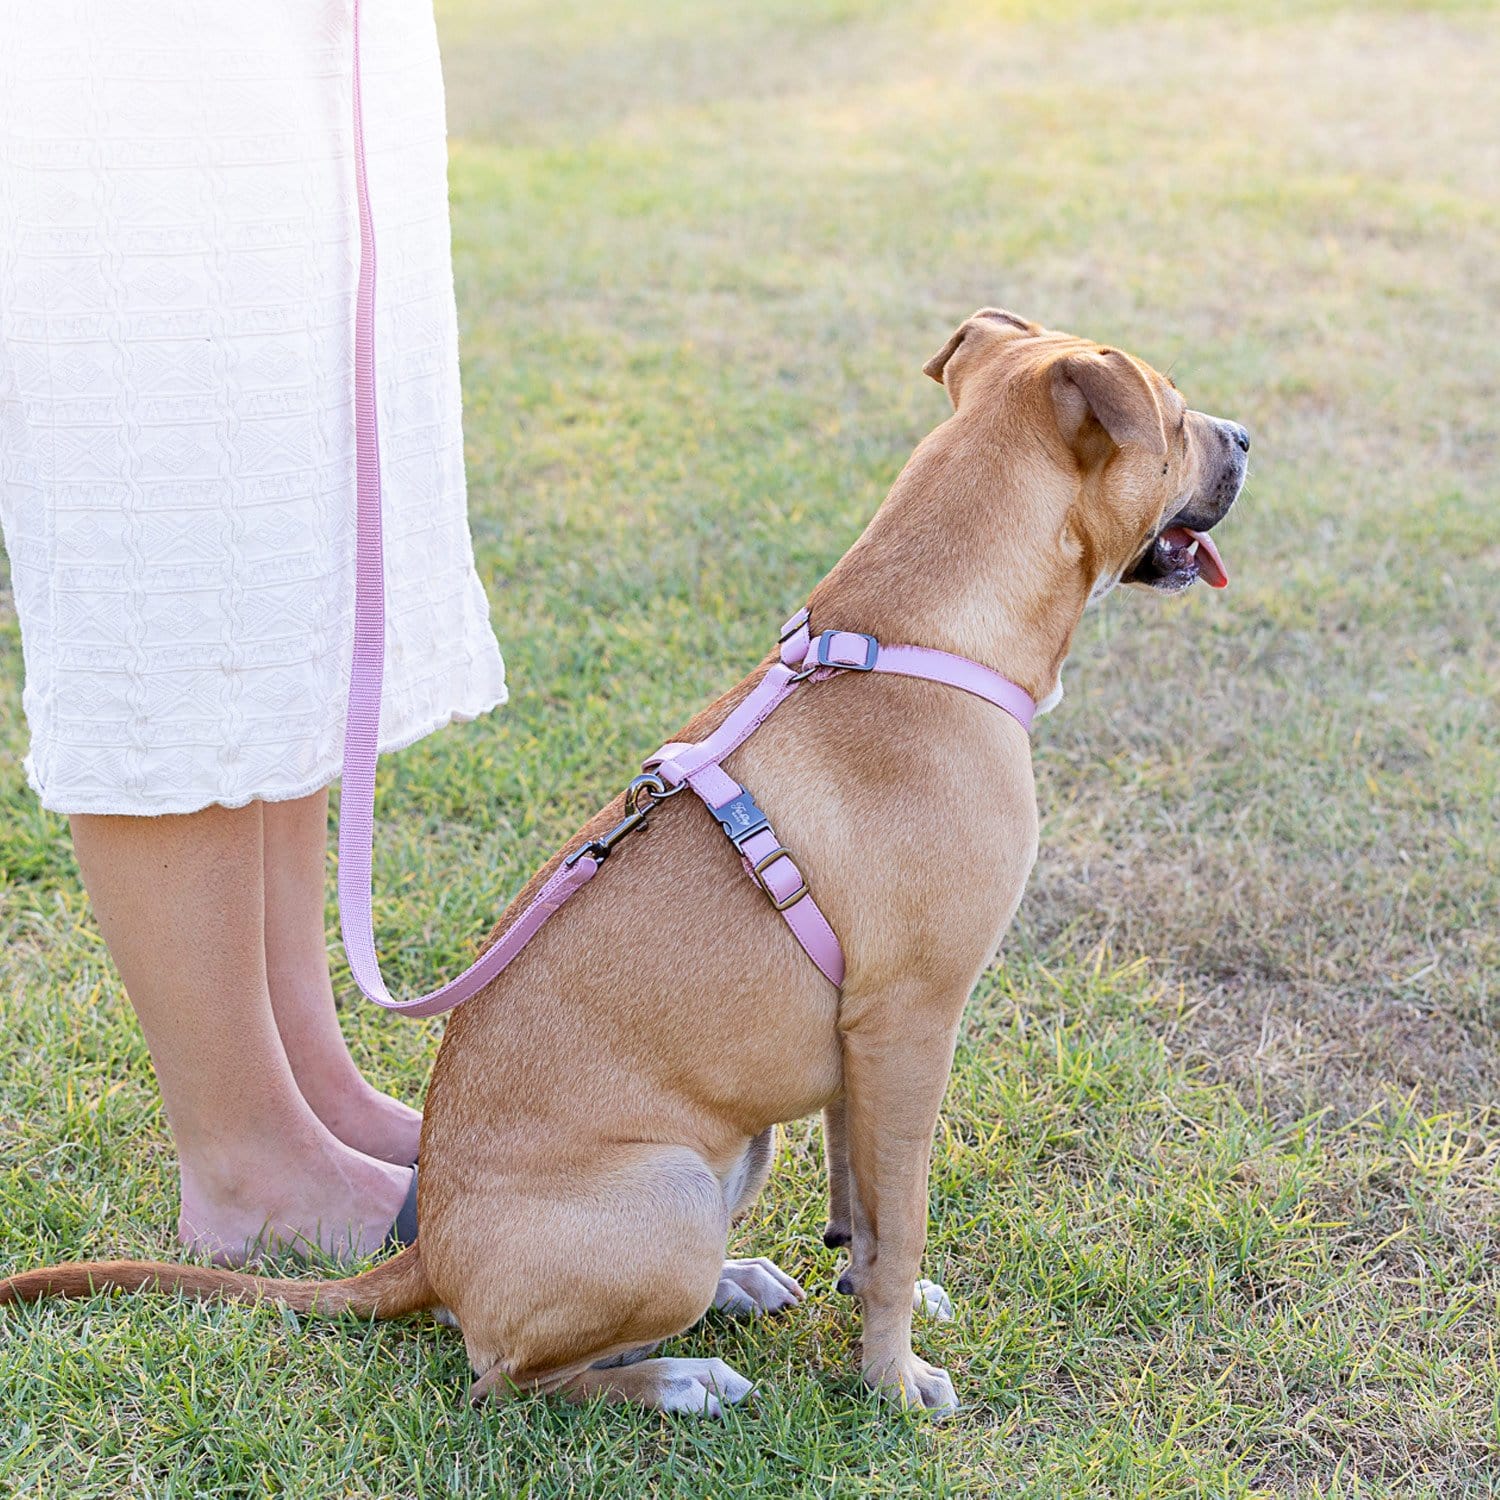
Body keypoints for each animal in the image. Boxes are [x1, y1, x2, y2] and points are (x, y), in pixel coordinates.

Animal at [0, 310, 1242, 1410]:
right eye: (1179, 417)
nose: (1243, 437)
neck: (923, 636)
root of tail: (429, 1247)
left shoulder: (863, 1043)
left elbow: (867, 1205)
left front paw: (865, 1292)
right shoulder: (913, 1024)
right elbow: (903, 1221)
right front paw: (892, 1380)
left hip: (741, 1145)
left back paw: (732, 1290)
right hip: (672, 1188)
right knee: (507, 1380)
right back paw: (680, 1377)